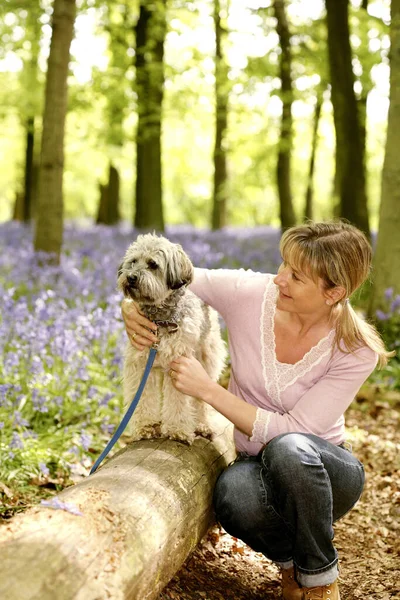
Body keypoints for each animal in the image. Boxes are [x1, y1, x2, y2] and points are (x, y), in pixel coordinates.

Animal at [117, 234, 227, 446]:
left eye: (153, 264)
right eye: (133, 262)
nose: (131, 277)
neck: (159, 320)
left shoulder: (178, 366)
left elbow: (178, 401)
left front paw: (177, 430)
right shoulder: (141, 366)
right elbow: (143, 398)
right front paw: (146, 427)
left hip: (205, 361)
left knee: (201, 400)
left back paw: (201, 424)